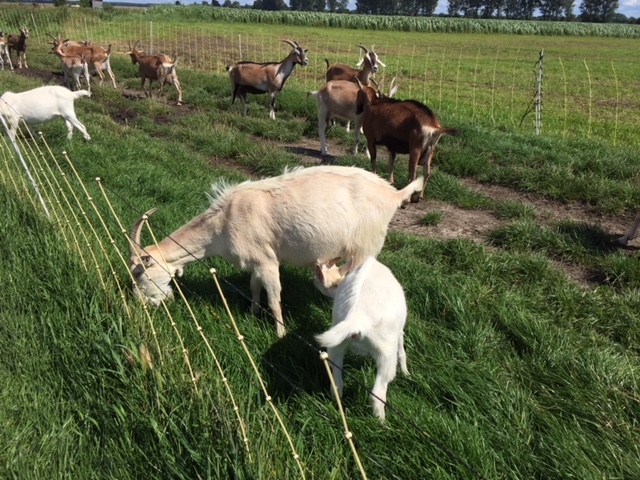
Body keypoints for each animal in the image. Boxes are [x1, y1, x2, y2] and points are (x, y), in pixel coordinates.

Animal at [127, 165, 422, 338]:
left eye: (139, 274)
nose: (144, 304)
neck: (223, 222)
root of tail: (393, 195)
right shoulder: (256, 261)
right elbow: (253, 287)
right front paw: (252, 313)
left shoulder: (268, 260)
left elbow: (274, 298)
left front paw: (279, 332)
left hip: (366, 247)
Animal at [316, 255, 410, 420]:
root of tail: (356, 318)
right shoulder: (398, 332)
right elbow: (402, 351)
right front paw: (406, 373)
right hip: (385, 353)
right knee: (377, 394)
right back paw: (382, 422)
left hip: (336, 347)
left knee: (337, 385)